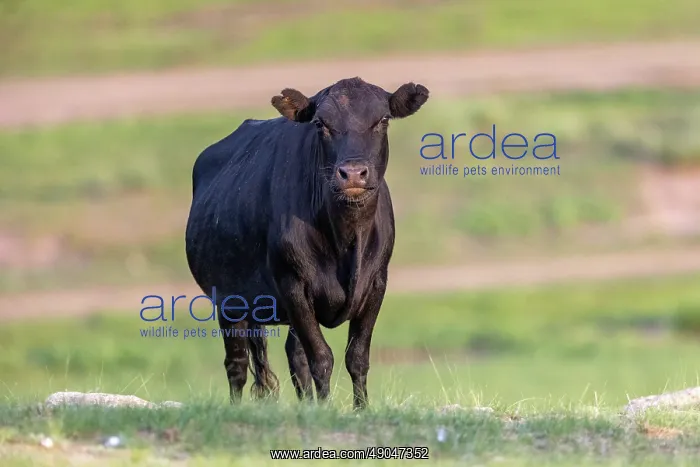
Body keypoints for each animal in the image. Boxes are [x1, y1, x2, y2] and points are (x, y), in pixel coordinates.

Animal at [185, 77, 429, 409]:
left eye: (383, 120)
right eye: (320, 123)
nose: (353, 174)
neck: (346, 239)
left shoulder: (377, 283)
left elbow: (357, 356)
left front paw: (360, 408)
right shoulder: (293, 285)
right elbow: (322, 358)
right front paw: (326, 408)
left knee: (293, 355)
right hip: (229, 301)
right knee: (237, 364)